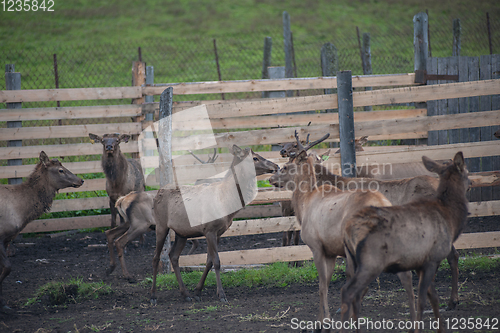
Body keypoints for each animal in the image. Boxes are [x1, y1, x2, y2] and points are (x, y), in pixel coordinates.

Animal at [270, 132, 414, 330]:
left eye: (285, 167)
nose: (270, 178)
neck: (304, 203)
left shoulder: (316, 246)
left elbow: (322, 285)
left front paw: (323, 322)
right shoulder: (331, 251)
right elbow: (326, 283)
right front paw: (323, 320)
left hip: (355, 245)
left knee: (360, 284)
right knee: (406, 276)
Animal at [340, 151, 468, 332]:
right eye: (467, 171)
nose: (471, 183)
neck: (451, 216)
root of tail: (347, 229)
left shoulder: (421, 263)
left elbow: (431, 297)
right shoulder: (431, 260)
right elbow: (424, 299)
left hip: (356, 261)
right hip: (371, 263)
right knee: (349, 291)